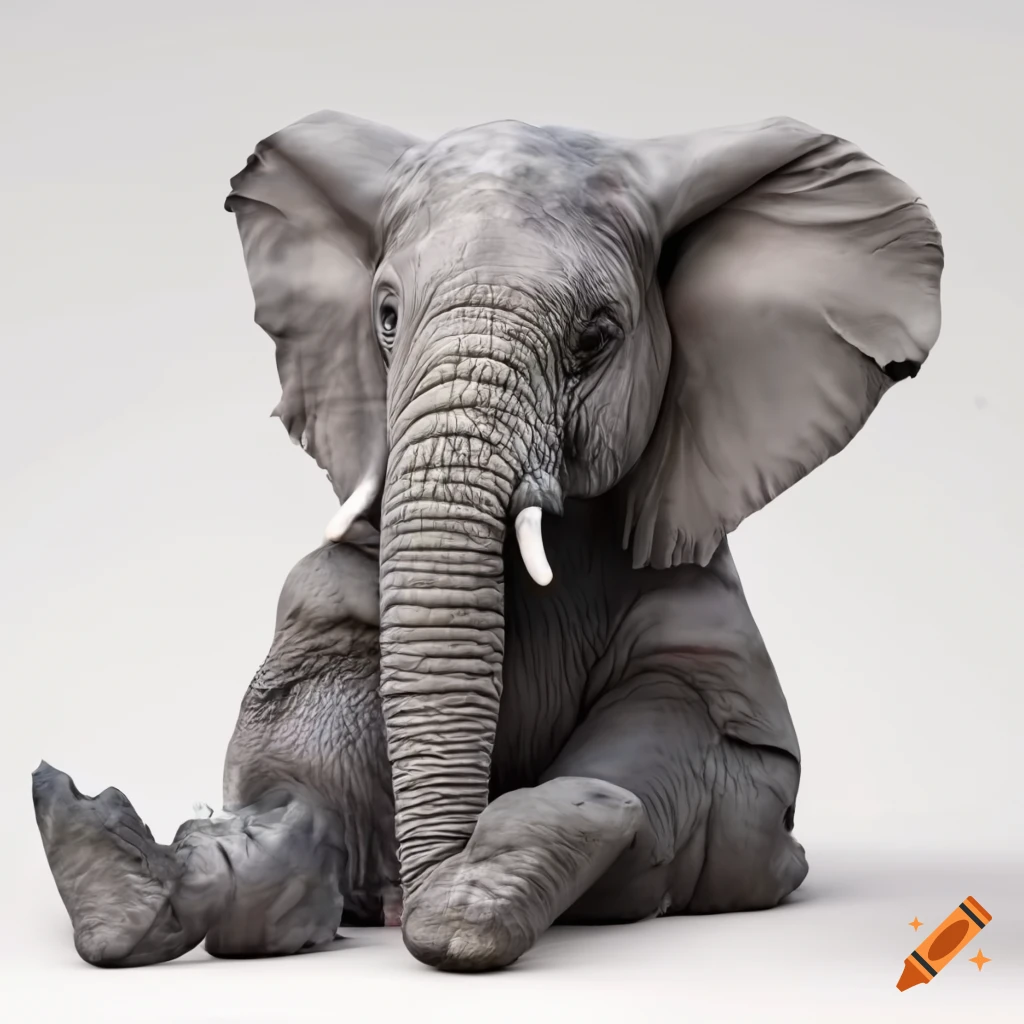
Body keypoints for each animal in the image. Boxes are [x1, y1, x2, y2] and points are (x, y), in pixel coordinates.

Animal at [32, 110, 943, 972]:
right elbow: (292, 766)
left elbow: (692, 749)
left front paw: (555, 825)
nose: (400, 903)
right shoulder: (334, 604)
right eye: (387, 318)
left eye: (595, 338)